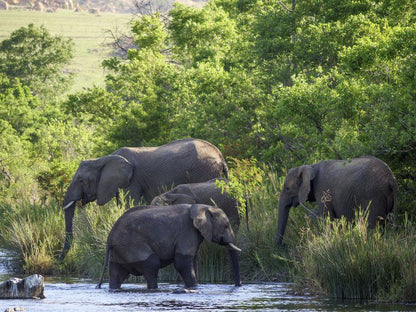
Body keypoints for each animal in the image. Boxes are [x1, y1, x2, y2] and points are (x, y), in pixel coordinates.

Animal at [59, 138, 228, 260]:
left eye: (81, 180)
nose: (60, 260)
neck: (103, 159)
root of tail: (221, 157)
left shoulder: (132, 180)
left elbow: (129, 204)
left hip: (204, 170)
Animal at [96, 205, 242, 290]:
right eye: (226, 226)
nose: (239, 285)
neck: (201, 207)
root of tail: (110, 235)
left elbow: (191, 261)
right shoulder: (187, 231)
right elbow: (182, 262)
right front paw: (193, 287)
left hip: (120, 250)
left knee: (116, 274)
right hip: (132, 245)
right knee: (151, 265)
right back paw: (154, 289)